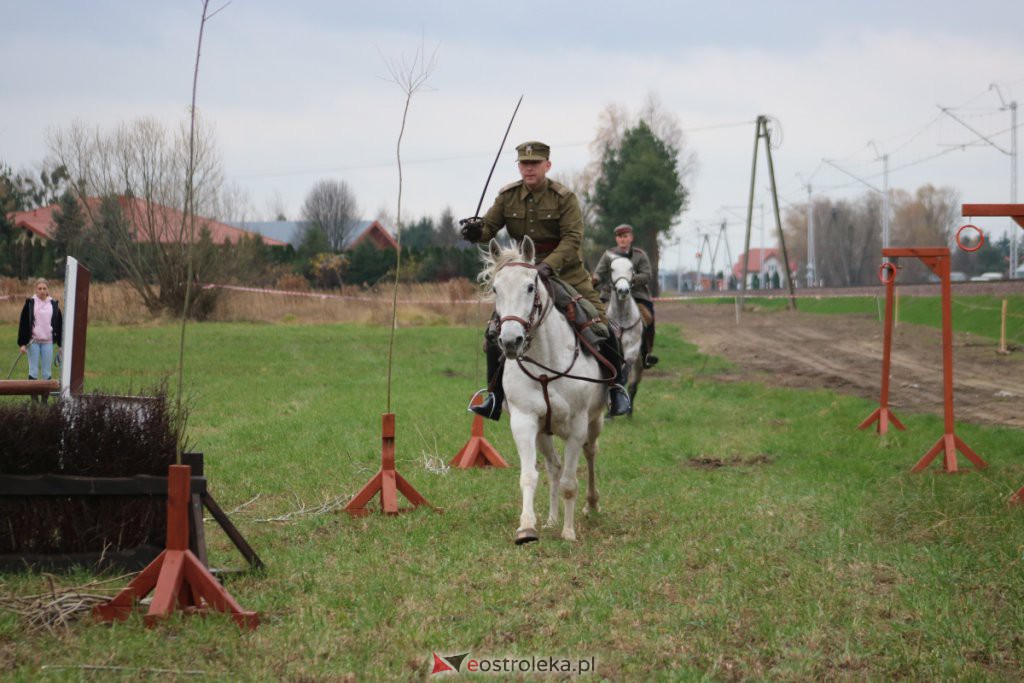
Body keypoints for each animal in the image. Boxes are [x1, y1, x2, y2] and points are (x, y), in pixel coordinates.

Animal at [481, 236, 602, 544]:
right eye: (496, 289)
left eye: (530, 286)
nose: (510, 341)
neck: (546, 362)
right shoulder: (524, 422)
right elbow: (529, 476)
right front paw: (527, 527)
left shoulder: (577, 427)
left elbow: (571, 482)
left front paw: (569, 532)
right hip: (543, 433)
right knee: (554, 467)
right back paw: (550, 519)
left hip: (595, 421)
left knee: (590, 453)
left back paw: (591, 504)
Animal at [602, 258, 643, 413]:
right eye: (612, 269)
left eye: (631, 268)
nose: (623, 290)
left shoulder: (632, 351)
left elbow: (624, 377)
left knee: (633, 385)